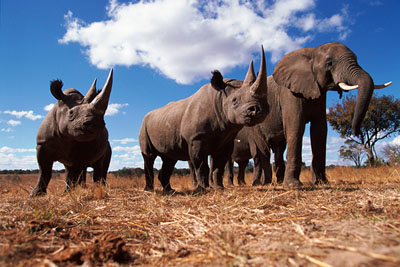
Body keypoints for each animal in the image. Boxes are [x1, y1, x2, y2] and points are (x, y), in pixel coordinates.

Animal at [30, 69, 112, 197]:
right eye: (71, 112)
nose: (97, 124)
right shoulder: (42, 143)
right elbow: (44, 170)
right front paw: (36, 194)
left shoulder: (85, 147)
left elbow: (78, 170)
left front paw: (76, 191)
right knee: (70, 168)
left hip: (108, 146)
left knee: (99, 166)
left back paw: (99, 188)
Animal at [139, 47, 268, 195]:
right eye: (234, 100)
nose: (259, 110)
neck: (219, 98)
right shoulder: (196, 138)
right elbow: (201, 166)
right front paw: (203, 190)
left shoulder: (226, 140)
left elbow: (219, 166)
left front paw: (219, 188)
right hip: (144, 125)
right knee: (149, 156)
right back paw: (149, 190)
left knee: (170, 158)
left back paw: (170, 191)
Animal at [268, 42, 390, 188]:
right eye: (329, 63)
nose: (358, 132)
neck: (312, 52)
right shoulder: (289, 92)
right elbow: (296, 126)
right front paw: (293, 185)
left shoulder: (320, 93)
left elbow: (319, 130)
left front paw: (321, 182)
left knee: (279, 148)